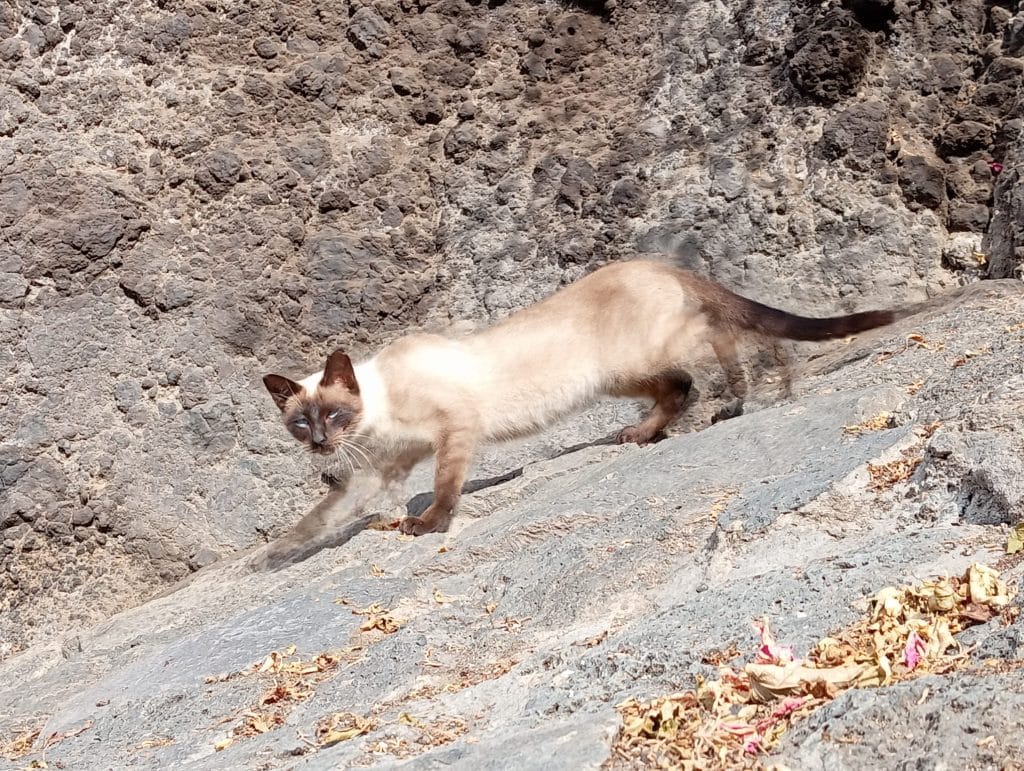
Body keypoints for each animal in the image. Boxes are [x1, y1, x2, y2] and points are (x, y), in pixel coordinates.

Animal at [263, 259, 917, 540]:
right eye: (301, 424)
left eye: (335, 413)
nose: (320, 444)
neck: (379, 417)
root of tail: (653, 260)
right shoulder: (391, 461)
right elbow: (334, 509)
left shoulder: (455, 429)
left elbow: (445, 488)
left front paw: (427, 524)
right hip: (619, 377)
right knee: (681, 386)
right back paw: (642, 434)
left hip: (641, 357)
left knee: (722, 339)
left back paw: (758, 389)